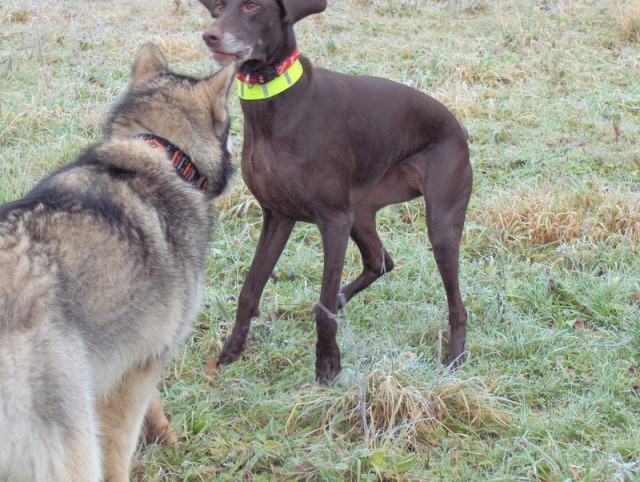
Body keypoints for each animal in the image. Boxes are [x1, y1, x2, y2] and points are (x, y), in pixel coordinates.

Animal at [199, 0, 470, 384]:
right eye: (219, 7)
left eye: (253, 6)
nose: (211, 36)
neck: (278, 104)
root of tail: (458, 128)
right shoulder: (277, 216)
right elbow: (249, 289)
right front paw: (232, 349)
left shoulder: (333, 221)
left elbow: (322, 305)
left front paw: (328, 365)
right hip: (361, 214)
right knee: (380, 261)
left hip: (440, 225)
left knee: (455, 303)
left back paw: (455, 356)